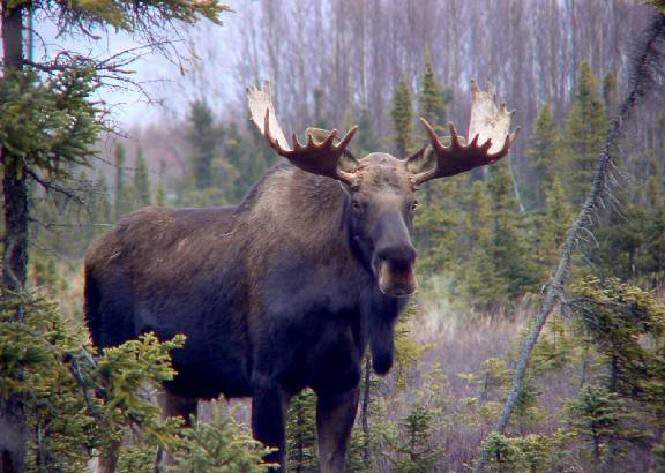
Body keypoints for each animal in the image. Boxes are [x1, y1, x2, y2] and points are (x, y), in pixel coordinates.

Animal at [84, 79, 520, 470]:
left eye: (413, 203)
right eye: (357, 202)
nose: (398, 263)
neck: (337, 305)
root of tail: (92, 253)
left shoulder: (341, 383)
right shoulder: (267, 380)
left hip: (178, 381)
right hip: (111, 362)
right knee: (104, 450)